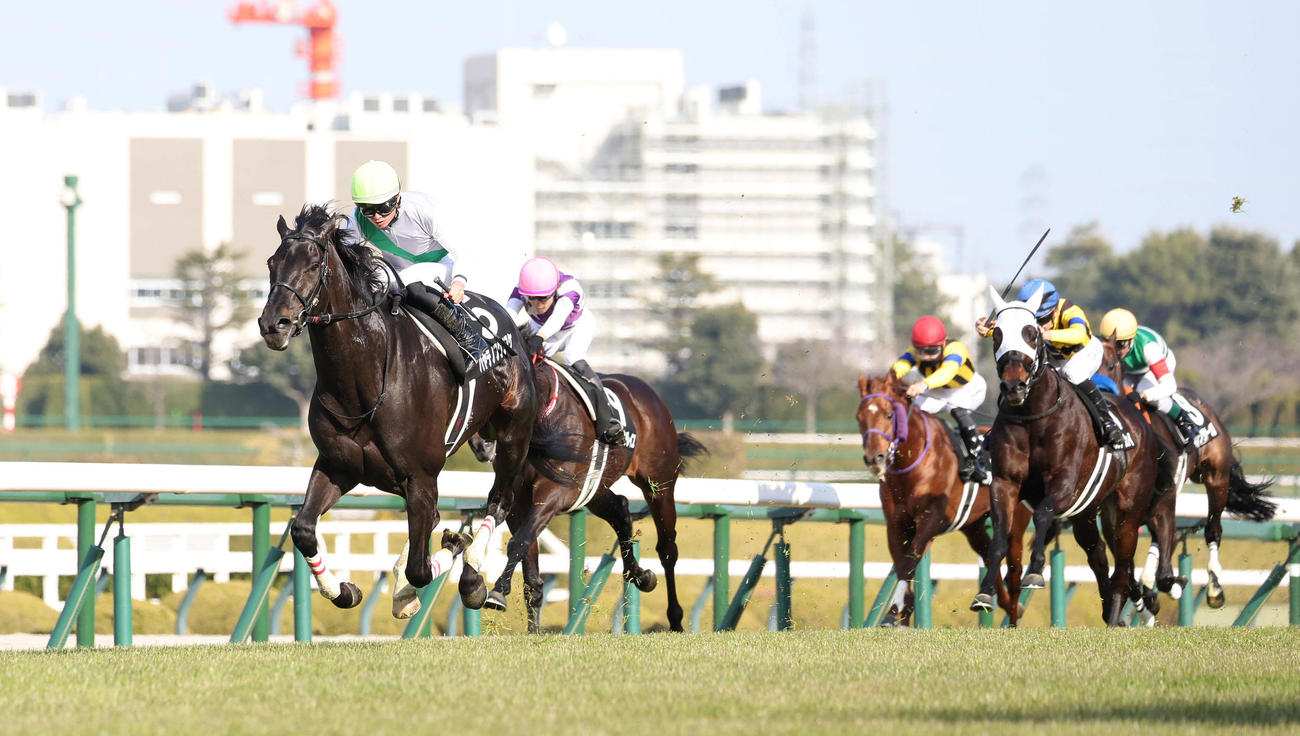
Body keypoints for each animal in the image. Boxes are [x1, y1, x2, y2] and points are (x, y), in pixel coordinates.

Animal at [257, 203, 550, 619]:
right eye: (272, 262)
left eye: (313, 264)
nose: (273, 324)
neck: (365, 380)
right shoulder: (339, 465)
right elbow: (303, 530)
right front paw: (344, 590)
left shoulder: (421, 476)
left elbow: (422, 566)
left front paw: (454, 557)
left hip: (513, 436)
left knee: (500, 501)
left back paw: (473, 579)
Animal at [478, 358, 707, 632]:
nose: (481, 446)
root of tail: (651, 395)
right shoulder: (519, 502)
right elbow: (528, 561)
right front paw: (532, 629)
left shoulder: (554, 492)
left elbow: (519, 542)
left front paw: (498, 591)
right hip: (595, 489)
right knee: (621, 511)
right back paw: (639, 575)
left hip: (659, 485)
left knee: (667, 549)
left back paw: (675, 619)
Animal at [857, 371, 1035, 625]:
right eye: (860, 417)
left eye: (889, 414)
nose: (875, 457)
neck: (914, 462)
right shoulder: (896, 524)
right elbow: (902, 565)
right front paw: (898, 615)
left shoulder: (930, 521)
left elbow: (910, 561)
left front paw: (893, 612)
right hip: (973, 525)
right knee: (988, 554)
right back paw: (989, 600)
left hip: (1015, 523)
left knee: (1014, 570)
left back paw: (1012, 616)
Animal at [983, 286, 1176, 626]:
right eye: (997, 335)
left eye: (1031, 333)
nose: (1013, 386)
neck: (1032, 416)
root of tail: (1142, 423)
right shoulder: (1005, 483)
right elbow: (1000, 538)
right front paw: (984, 593)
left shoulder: (1065, 483)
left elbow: (1043, 514)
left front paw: (1035, 571)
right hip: (1088, 514)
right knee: (1099, 556)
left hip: (1127, 513)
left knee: (1123, 566)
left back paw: (1117, 614)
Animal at [1098, 336, 1276, 608]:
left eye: (1110, 366)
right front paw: (1145, 593)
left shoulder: (1164, 502)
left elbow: (1163, 569)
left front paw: (1170, 586)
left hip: (1216, 478)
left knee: (1213, 529)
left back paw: (1214, 588)